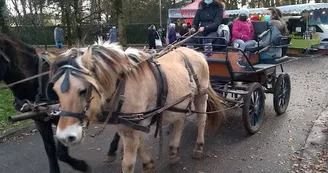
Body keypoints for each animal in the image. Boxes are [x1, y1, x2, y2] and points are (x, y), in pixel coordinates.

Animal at [0, 34, 120, 173]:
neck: (38, 80)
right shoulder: (40, 120)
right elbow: (50, 149)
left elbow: (61, 152)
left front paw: (82, 166)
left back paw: (112, 151)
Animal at [46, 41, 226, 173]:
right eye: (55, 90)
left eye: (83, 91)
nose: (65, 137)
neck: (123, 87)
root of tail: (196, 52)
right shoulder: (128, 125)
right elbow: (140, 146)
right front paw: (149, 164)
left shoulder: (132, 128)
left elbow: (128, 163)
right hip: (178, 102)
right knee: (179, 121)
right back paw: (173, 152)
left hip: (201, 95)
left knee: (201, 120)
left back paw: (199, 147)